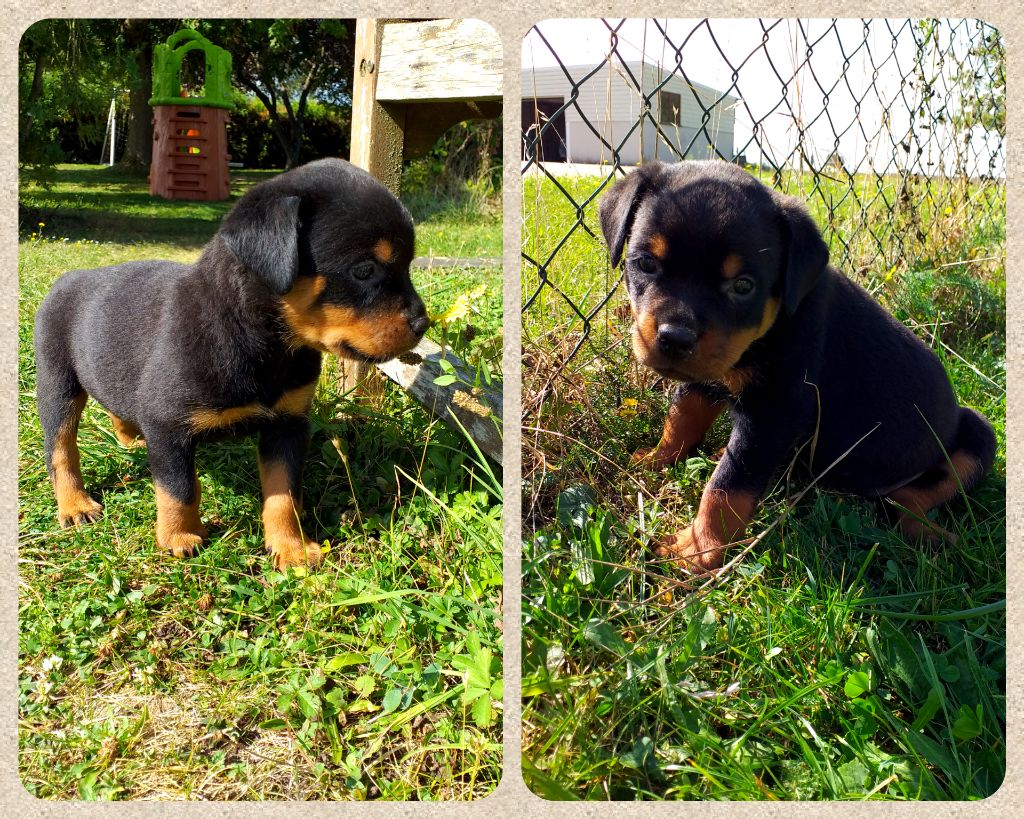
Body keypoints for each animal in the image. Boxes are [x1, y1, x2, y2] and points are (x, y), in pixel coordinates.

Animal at [34, 158, 429, 569]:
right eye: (364, 270)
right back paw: (75, 505)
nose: (423, 323)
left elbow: (283, 494)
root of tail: (69, 277)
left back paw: (129, 438)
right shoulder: (167, 424)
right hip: (56, 382)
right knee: (60, 447)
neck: (265, 343)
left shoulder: (288, 424)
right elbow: (179, 488)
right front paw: (180, 537)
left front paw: (290, 547)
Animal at [598, 160, 996, 573]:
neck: (770, 329)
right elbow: (681, 419)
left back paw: (934, 537)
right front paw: (656, 458)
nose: (675, 338)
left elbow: (729, 483)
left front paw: (700, 547)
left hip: (976, 435)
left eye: (743, 286)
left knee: (911, 500)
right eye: (646, 263)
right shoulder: (704, 380)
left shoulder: (776, 411)